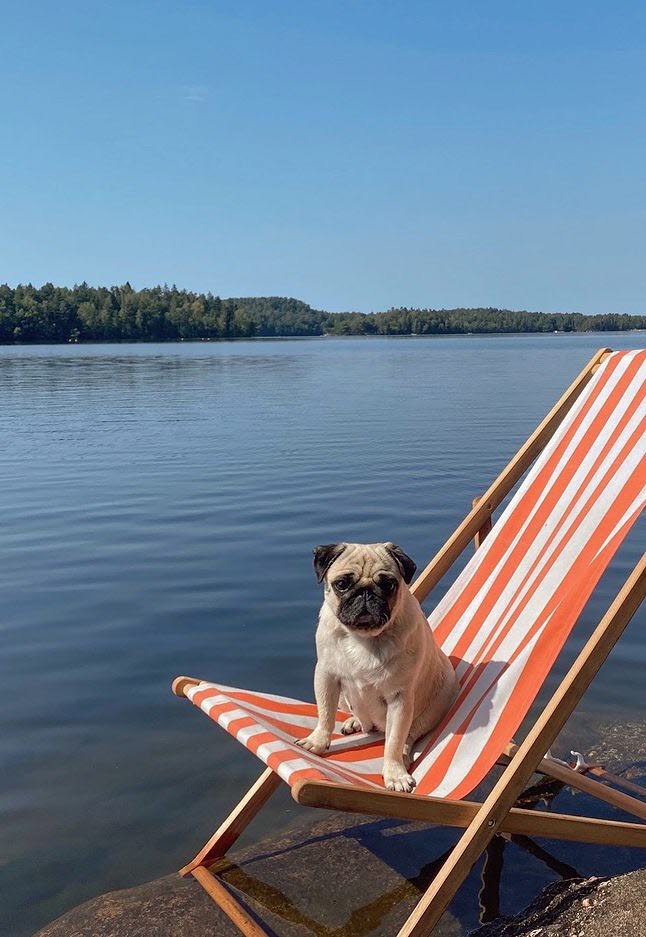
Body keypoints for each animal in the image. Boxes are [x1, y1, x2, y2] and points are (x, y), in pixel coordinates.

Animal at [296, 542, 458, 792]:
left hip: (438, 701)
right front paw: (318, 741)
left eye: (388, 584)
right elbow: (325, 715)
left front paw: (394, 773)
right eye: (341, 584)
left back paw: (402, 754)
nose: (365, 592)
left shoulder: (400, 698)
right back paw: (354, 721)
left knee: (407, 735)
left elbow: (393, 742)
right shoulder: (326, 676)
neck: (364, 638)